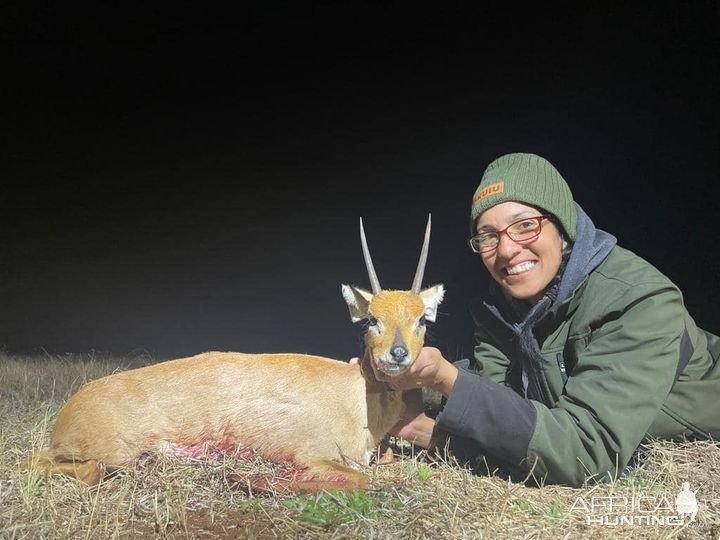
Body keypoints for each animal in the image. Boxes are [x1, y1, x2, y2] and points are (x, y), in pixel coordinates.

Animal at [19, 216, 442, 494]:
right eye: (371, 318)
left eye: (421, 318)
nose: (398, 354)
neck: (357, 405)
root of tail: (66, 415)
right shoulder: (311, 453)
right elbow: (358, 479)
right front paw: (247, 477)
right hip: (110, 455)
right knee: (49, 464)